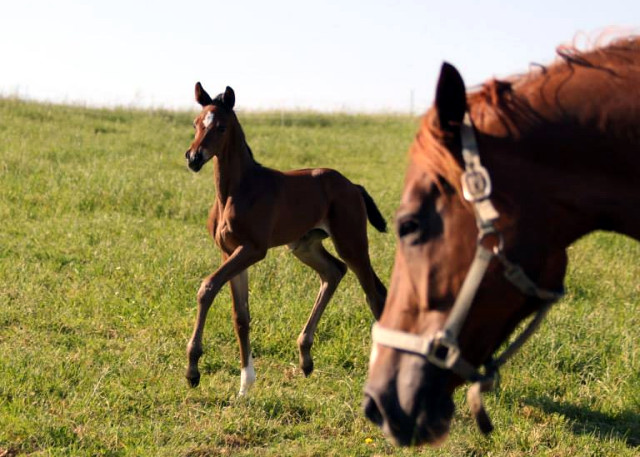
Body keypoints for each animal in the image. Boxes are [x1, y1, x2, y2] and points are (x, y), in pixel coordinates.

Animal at [182, 83, 388, 394]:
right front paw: (245, 384)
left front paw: (193, 370)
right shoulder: (229, 251)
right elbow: (240, 315)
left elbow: (207, 287)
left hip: (351, 241)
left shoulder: (253, 249)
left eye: (221, 126)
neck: (235, 191)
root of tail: (353, 186)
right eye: (196, 123)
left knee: (374, 294)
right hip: (305, 245)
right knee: (334, 272)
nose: (194, 157)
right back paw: (305, 358)